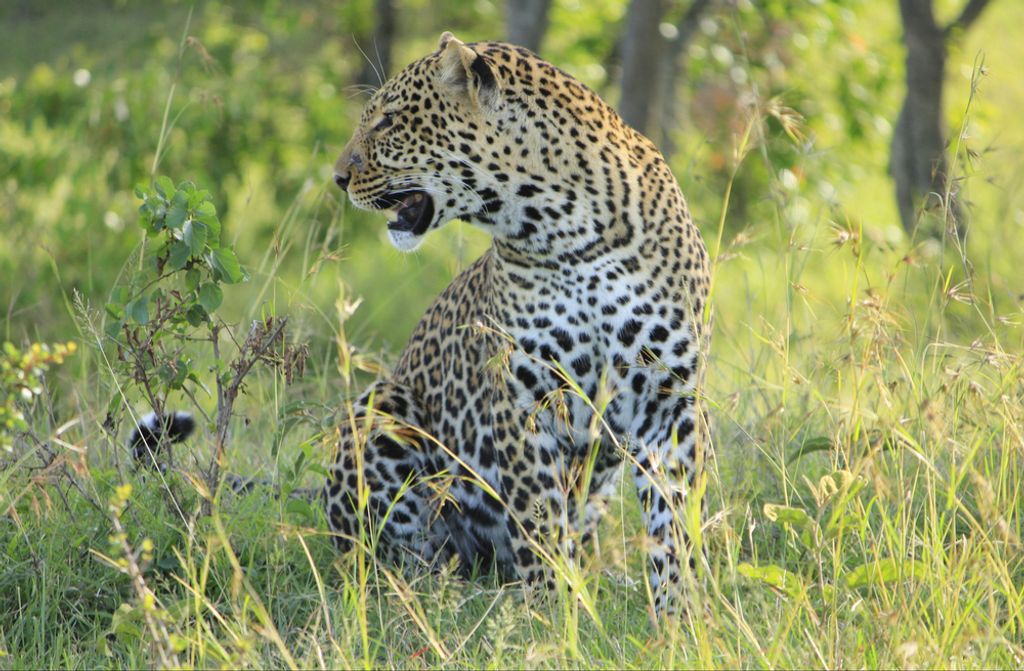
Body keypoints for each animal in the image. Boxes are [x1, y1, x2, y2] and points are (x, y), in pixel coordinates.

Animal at [328, 31, 711, 615]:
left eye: (388, 121)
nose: (338, 178)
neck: (568, 231)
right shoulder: (524, 398)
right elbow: (540, 522)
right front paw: (554, 614)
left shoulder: (668, 399)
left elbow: (675, 521)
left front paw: (680, 614)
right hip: (379, 411)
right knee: (395, 554)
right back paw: (440, 596)